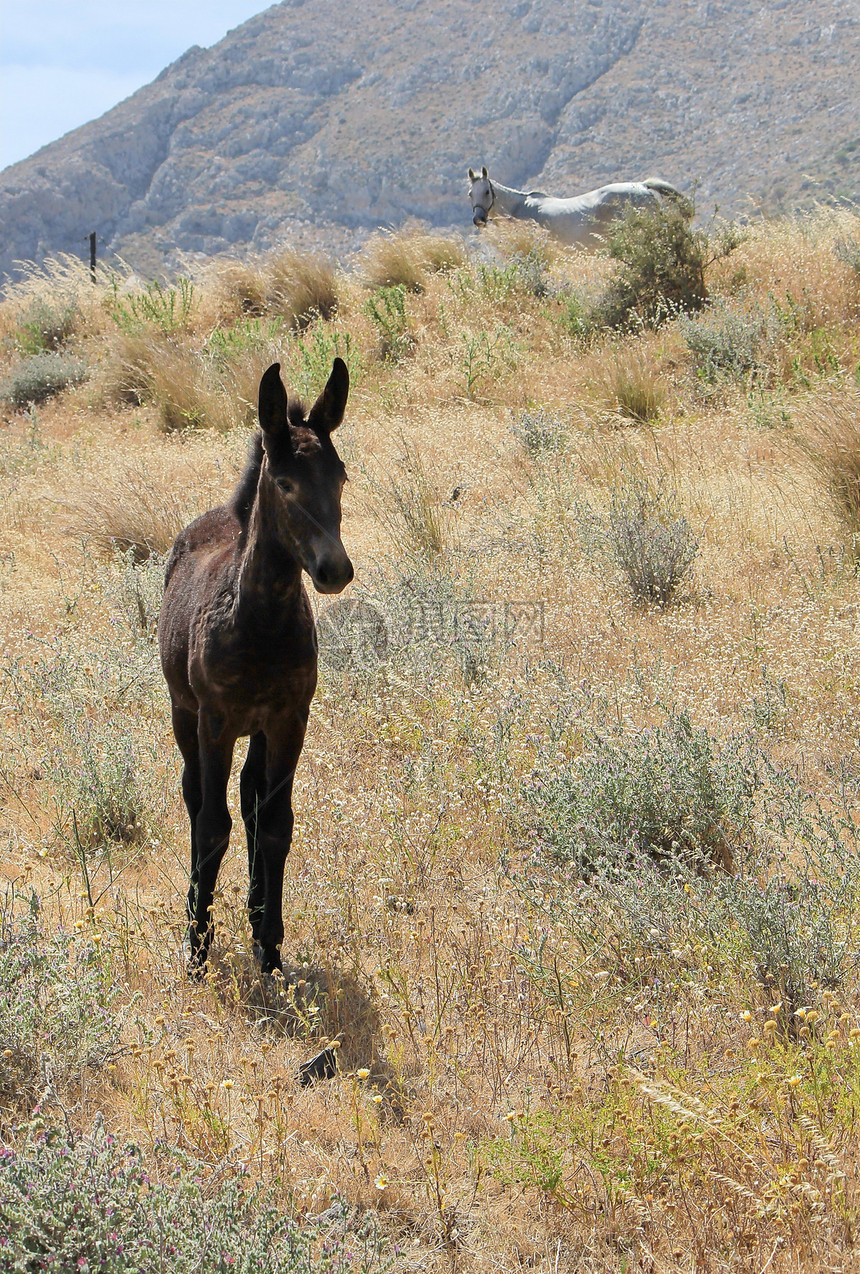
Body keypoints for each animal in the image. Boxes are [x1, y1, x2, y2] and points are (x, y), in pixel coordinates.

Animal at [157, 359, 354, 973]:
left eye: (341, 477)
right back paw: (200, 907)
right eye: (285, 483)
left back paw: (253, 909)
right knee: (196, 796)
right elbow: (211, 825)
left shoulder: (290, 718)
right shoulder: (216, 720)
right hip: (185, 715)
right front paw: (197, 945)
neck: (260, 622)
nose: (335, 570)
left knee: (248, 797)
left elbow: (274, 826)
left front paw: (268, 945)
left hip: (259, 729)